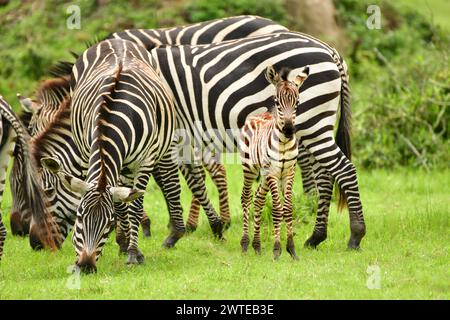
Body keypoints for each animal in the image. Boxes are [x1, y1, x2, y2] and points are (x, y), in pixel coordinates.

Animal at [40, 38, 185, 272]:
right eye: (79, 218)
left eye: (107, 225)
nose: (86, 266)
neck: (111, 121)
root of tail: (115, 40)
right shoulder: (90, 151)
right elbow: (119, 204)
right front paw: (125, 246)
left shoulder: (145, 161)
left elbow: (134, 207)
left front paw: (134, 254)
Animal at [239, 65, 310, 260]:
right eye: (278, 102)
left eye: (297, 103)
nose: (288, 130)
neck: (284, 143)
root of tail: (257, 115)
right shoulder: (272, 171)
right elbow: (278, 210)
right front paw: (277, 250)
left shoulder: (289, 172)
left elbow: (288, 209)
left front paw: (291, 249)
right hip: (250, 168)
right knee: (246, 198)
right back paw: (245, 243)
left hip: (264, 174)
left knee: (258, 199)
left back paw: (257, 245)